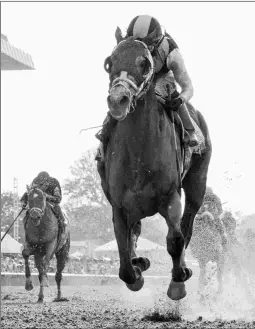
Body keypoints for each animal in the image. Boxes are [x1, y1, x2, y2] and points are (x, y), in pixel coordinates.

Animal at [96, 27, 212, 300]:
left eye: (145, 63)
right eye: (110, 63)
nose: (118, 100)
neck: (140, 153)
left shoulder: (170, 197)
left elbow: (176, 239)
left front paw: (178, 282)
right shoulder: (119, 205)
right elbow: (124, 256)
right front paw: (137, 271)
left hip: (197, 184)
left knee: (187, 226)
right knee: (135, 233)